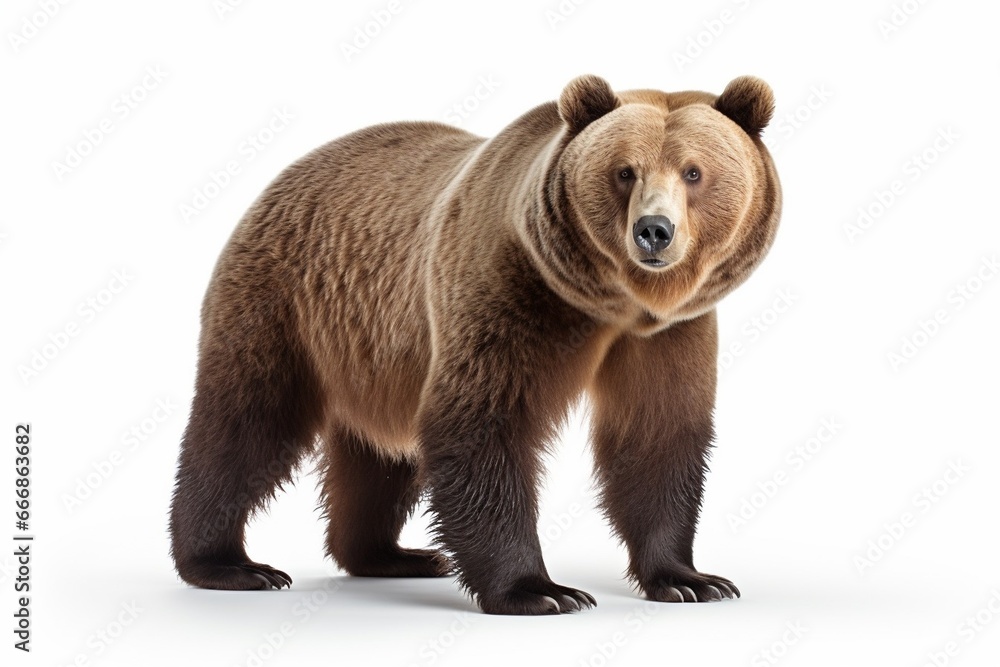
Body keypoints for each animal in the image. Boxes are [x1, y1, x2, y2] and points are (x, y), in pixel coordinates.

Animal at [169, 74, 781, 615]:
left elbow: (658, 436)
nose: (654, 230)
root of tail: (283, 175)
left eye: (694, 171)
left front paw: (690, 580)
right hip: (283, 301)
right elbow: (483, 424)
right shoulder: (505, 288)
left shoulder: (668, 333)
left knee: (380, 455)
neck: (609, 302)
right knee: (247, 422)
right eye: (624, 171)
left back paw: (392, 555)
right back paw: (229, 563)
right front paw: (541, 591)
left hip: (375, 350)